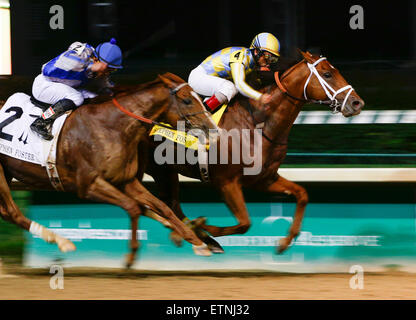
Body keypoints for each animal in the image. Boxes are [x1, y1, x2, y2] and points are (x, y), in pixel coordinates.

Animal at [0, 72, 219, 264]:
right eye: (187, 100)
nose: (213, 129)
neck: (111, 126)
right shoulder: (89, 185)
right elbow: (133, 207)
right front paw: (131, 256)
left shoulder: (126, 181)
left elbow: (161, 206)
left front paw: (197, 241)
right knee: (12, 212)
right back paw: (62, 241)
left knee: (7, 213)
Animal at [142, 51, 364, 254]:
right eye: (327, 74)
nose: (357, 103)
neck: (259, 124)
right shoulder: (226, 181)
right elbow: (244, 223)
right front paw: (202, 227)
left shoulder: (263, 179)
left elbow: (302, 194)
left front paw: (285, 242)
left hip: (165, 171)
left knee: (171, 204)